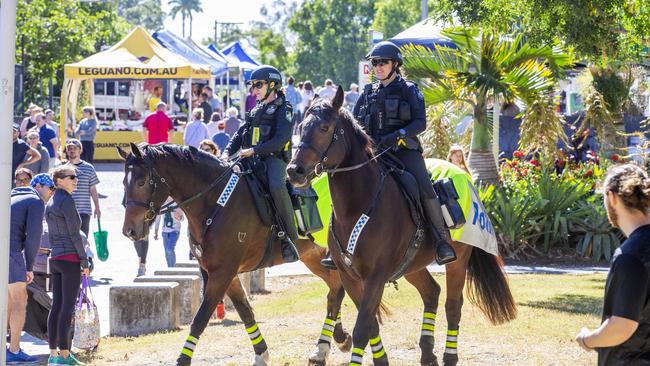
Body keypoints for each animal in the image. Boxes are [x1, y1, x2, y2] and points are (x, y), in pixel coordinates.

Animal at [116, 144, 350, 364]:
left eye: (141, 182)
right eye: (124, 184)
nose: (129, 231)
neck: (216, 201)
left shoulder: (223, 272)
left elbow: (200, 318)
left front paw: (183, 359)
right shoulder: (224, 272)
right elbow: (244, 310)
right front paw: (261, 354)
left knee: (336, 291)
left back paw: (325, 347)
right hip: (313, 256)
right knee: (333, 288)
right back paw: (336, 339)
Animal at [286, 86, 512, 366]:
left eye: (325, 128)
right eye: (301, 126)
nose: (294, 170)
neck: (356, 207)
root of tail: (464, 174)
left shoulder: (375, 277)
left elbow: (362, 326)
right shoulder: (350, 276)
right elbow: (369, 323)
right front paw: (381, 359)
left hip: (458, 260)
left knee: (453, 305)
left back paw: (449, 355)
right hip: (412, 265)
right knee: (431, 292)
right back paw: (427, 352)